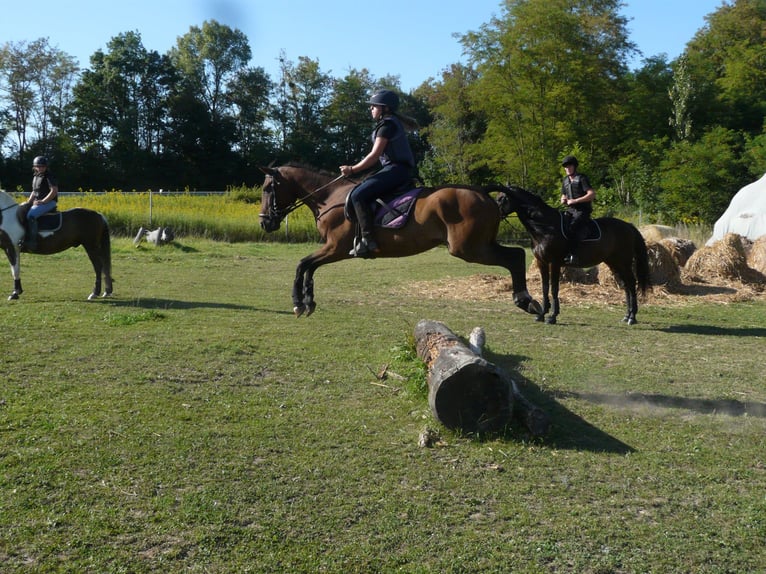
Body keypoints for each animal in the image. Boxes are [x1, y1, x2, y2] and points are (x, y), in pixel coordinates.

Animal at [258, 164, 542, 318]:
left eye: (267, 188)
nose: (264, 222)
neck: (330, 198)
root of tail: (482, 191)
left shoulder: (336, 247)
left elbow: (302, 264)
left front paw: (298, 303)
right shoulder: (332, 249)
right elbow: (309, 267)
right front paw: (308, 301)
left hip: (470, 248)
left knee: (515, 256)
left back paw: (525, 299)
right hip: (480, 245)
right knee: (516, 256)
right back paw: (527, 302)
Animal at [497, 185, 650, 325]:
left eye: (501, 199)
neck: (545, 227)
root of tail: (628, 226)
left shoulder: (555, 263)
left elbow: (554, 288)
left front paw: (552, 316)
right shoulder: (542, 262)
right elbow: (545, 288)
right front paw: (542, 314)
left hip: (623, 262)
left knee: (631, 284)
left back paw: (632, 317)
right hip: (614, 263)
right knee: (626, 285)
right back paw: (627, 316)